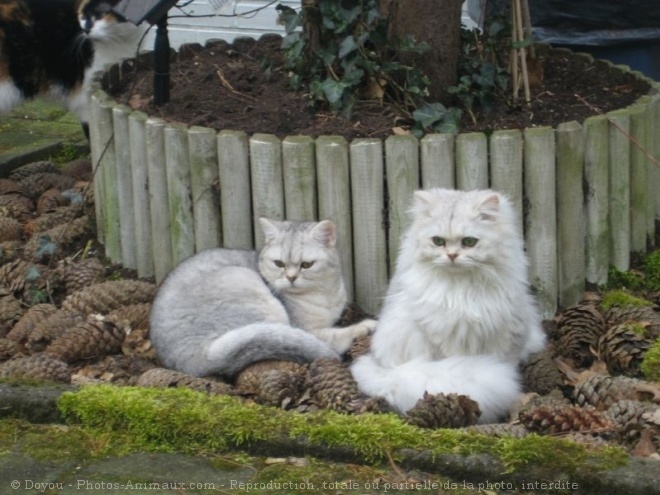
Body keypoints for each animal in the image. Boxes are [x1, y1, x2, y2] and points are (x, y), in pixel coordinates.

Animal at [151, 219, 376, 378]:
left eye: (306, 265)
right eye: (279, 263)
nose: (291, 278)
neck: (324, 293)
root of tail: (192, 358)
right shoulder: (306, 328)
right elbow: (335, 335)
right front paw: (365, 326)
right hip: (253, 291)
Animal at [350, 188, 548, 424]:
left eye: (469, 242)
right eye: (438, 241)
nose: (452, 255)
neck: (460, 289)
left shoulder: (506, 337)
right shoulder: (441, 338)